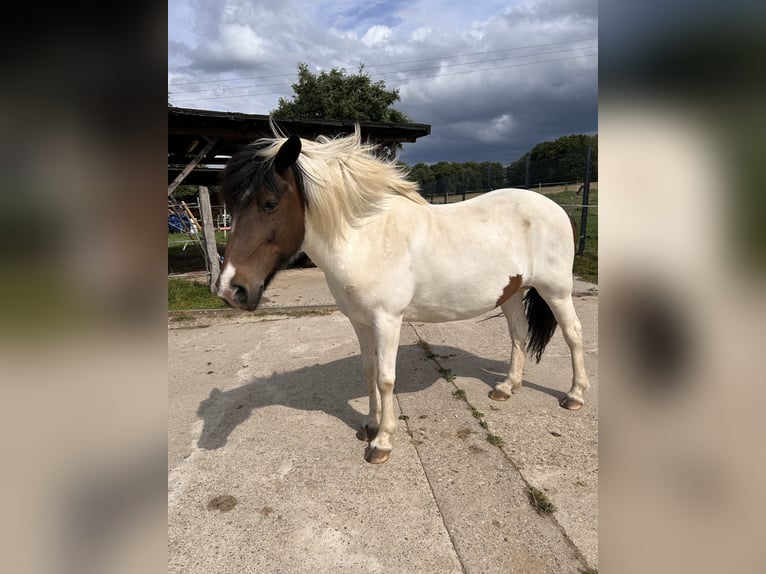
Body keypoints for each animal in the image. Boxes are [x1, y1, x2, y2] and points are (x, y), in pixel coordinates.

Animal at [215, 128, 590, 464]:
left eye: (270, 204)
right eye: (230, 207)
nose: (230, 289)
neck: (364, 241)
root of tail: (557, 208)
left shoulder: (387, 321)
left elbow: (385, 379)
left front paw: (381, 442)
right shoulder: (360, 322)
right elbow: (368, 371)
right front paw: (369, 424)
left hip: (556, 291)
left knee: (573, 334)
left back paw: (574, 395)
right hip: (512, 293)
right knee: (518, 335)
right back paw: (507, 387)